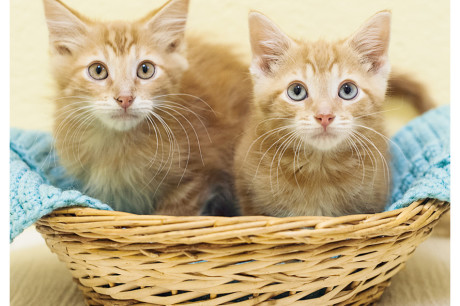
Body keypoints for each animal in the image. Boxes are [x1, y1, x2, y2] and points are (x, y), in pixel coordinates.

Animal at [43, 0, 252, 215]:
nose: (125, 98)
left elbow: (172, 214)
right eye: (98, 70)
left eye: (145, 69)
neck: (121, 144)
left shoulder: (196, 177)